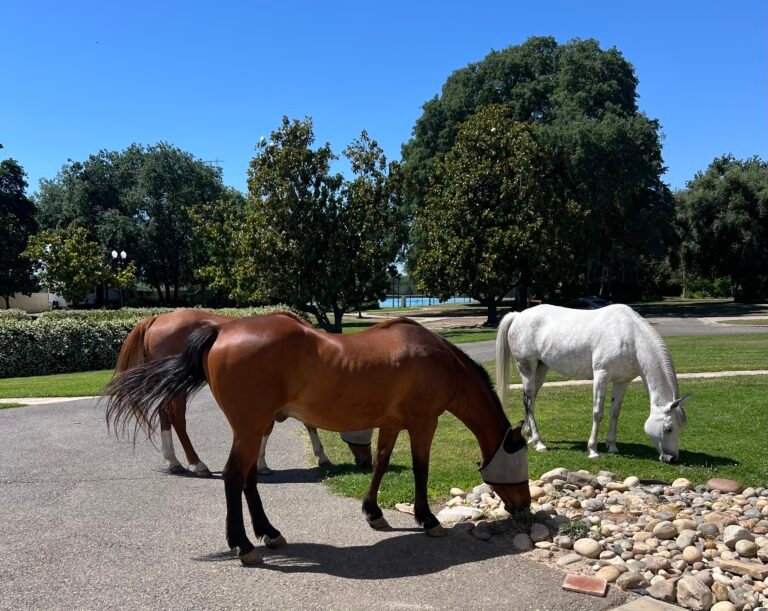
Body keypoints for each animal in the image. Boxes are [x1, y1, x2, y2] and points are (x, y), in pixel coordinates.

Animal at [114, 309, 372, 477]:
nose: (366, 462)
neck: (311, 347)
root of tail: (157, 318)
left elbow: (307, 424)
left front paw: (321, 457)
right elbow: (271, 428)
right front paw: (262, 463)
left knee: (164, 413)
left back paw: (174, 462)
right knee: (176, 417)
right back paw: (197, 464)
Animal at [496, 304, 690, 463]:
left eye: (681, 427)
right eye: (668, 428)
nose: (672, 459)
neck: (629, 336)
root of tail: (518, 316)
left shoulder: (622, 382)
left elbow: (615, 413)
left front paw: (612, 447)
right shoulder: (601, 376)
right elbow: (598, 413)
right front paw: (593, 450)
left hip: (541, 368)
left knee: (530, 400)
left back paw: (528, 435)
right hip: (526, 367)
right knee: (528, 401)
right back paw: (539, 442)